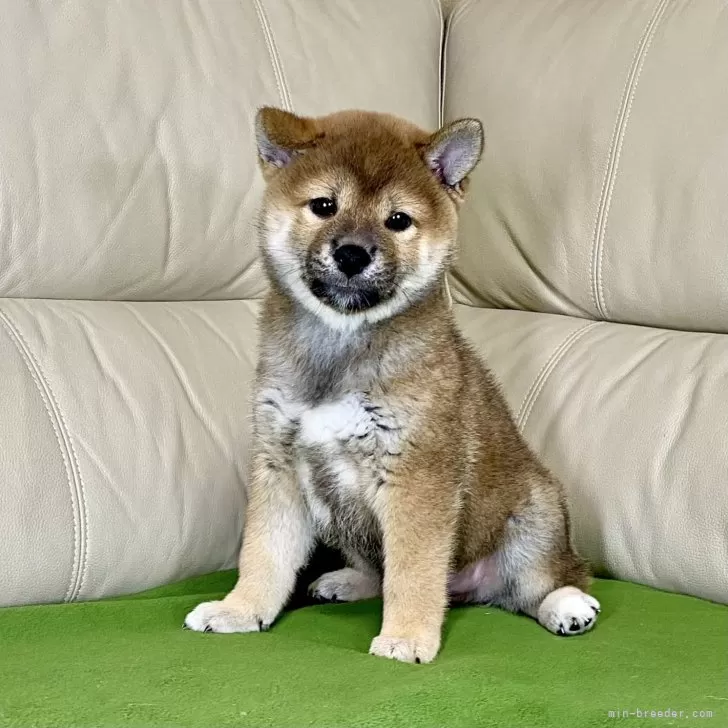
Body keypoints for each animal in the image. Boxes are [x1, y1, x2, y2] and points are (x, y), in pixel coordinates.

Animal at [185, 106, 600, 660]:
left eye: (398, 220)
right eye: (324, 206)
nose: (352, 254)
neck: (341, 345)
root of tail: (467, 589)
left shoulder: (416, 477)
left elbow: (414, 572)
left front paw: (406, 637)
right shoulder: (279, 463)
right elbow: (264, 552)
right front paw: (241, 609)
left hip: (535, 516)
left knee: (543, 582)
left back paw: (568, 606)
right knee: (383, 573)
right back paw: (348, 581)